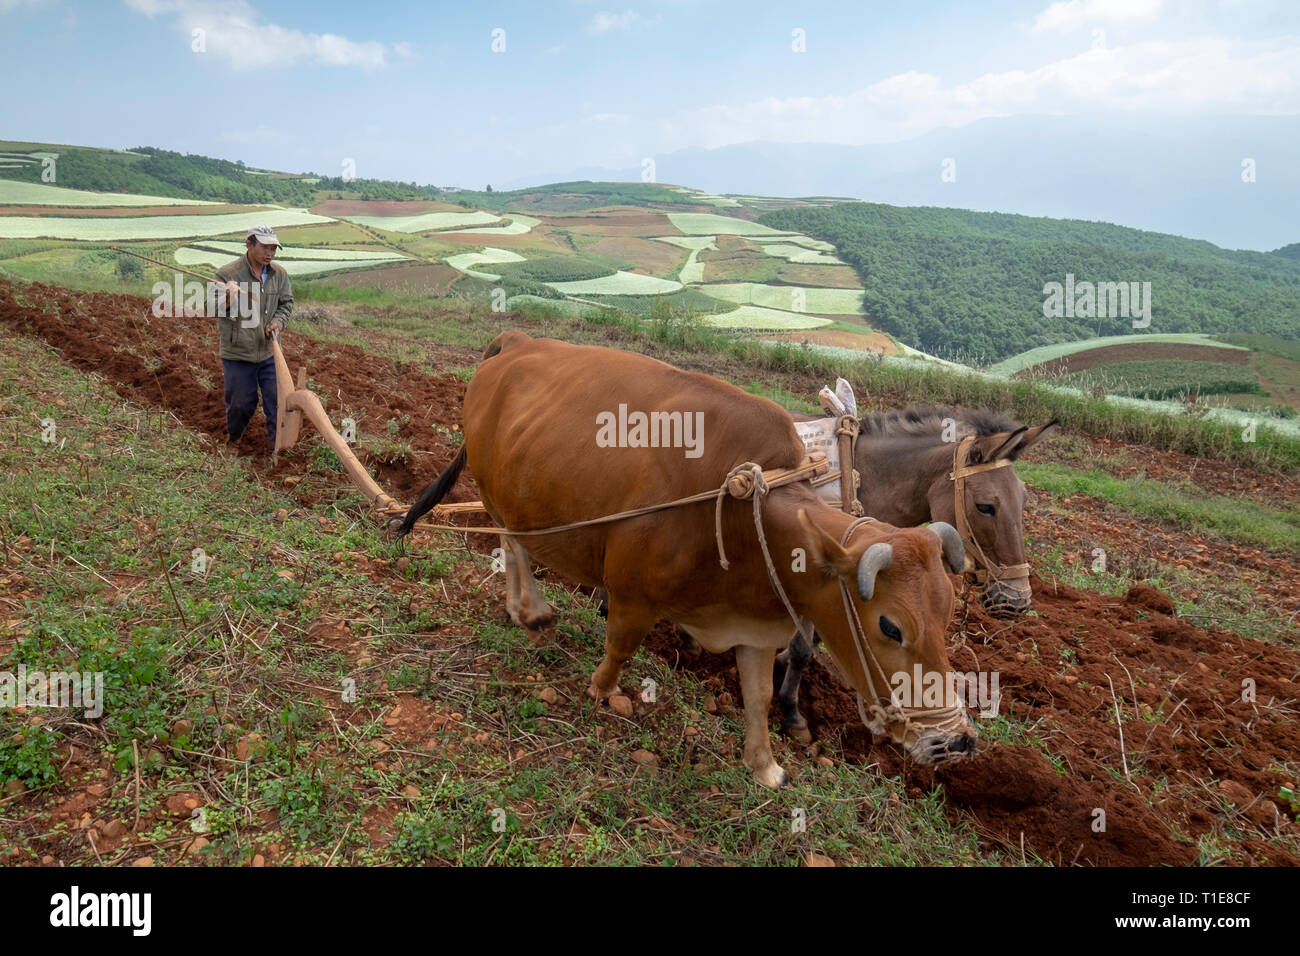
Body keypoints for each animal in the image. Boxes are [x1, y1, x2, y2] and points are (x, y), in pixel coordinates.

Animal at [395, 332, 977, 790]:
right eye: (890, 626)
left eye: (947, 613)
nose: (957, 742)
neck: (744, 506)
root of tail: (517, 340)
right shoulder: (632, 595)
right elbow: (620, 647)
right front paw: (603, 691)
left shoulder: (756, 626)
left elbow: (758, 694)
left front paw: (765, 765)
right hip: (494, 489)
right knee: (513, 544)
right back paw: (530, 610)